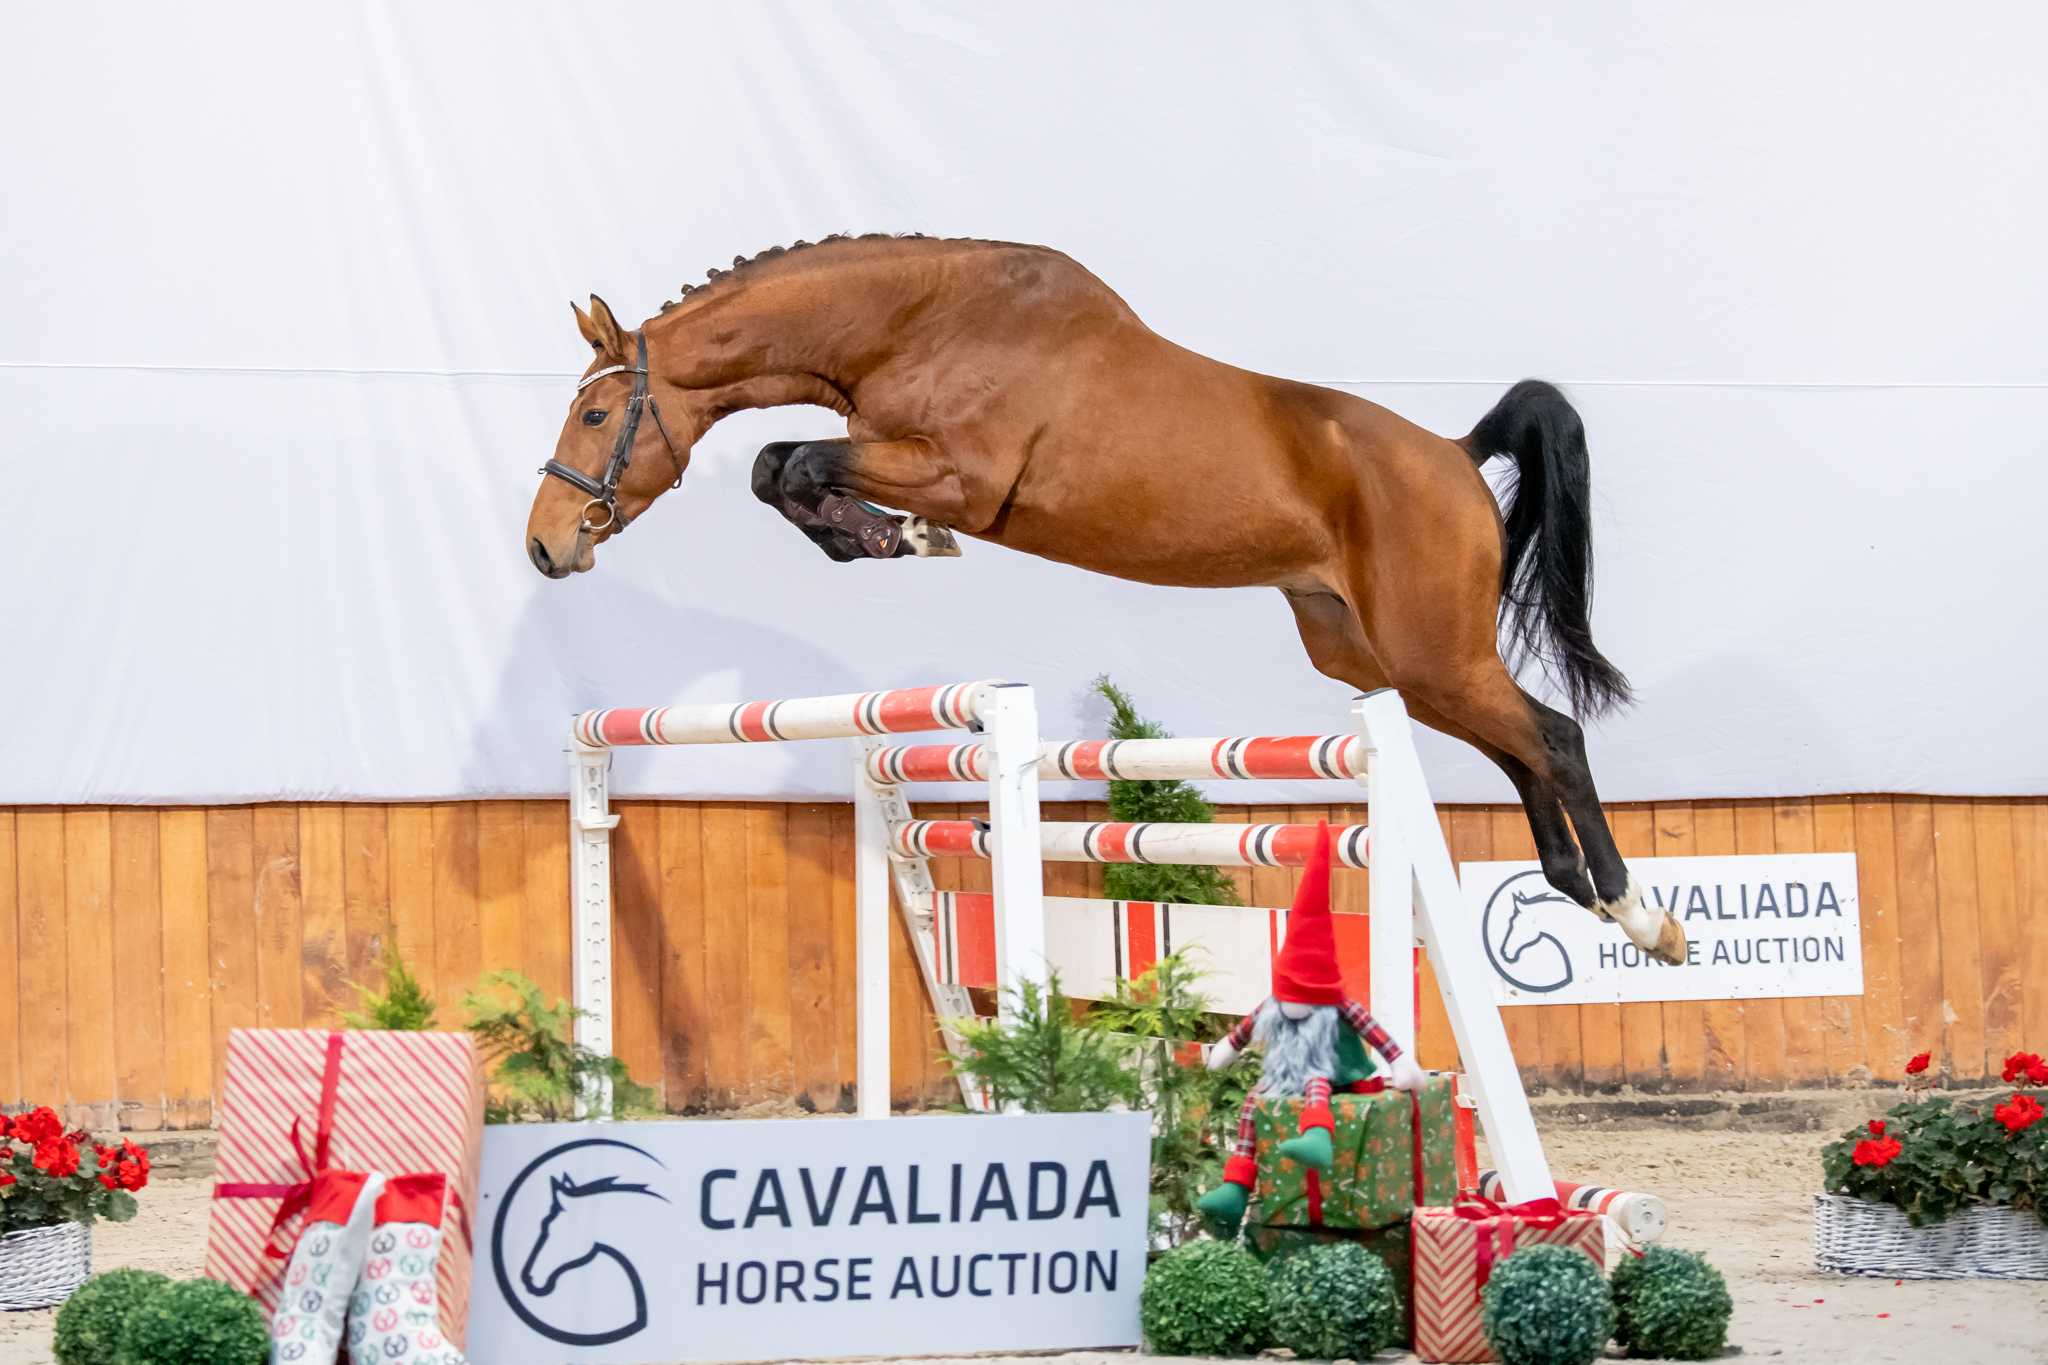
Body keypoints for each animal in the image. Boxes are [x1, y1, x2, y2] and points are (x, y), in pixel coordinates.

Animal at [525, 233, 1685, 967]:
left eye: (595, 416)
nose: (545, 545)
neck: (914, 320)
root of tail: (1451, 454)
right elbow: (781, 468)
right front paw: (879, 539)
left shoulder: (960, 473)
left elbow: (793, 459)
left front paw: (901, 536)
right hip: (1377, 654)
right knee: (1519, 744)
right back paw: (1580, 889)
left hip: (1430, 649)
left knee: (1551, 733)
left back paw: (1639, 914)